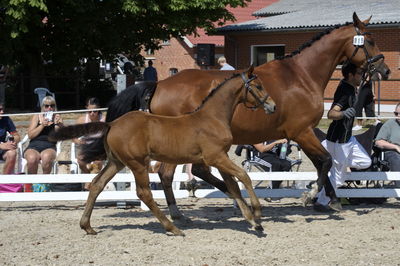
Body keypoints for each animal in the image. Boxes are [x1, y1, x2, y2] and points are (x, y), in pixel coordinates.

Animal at [51, 67, 276, 235]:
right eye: (257, 86)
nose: (272, 106)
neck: (212, 117)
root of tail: (112, 123)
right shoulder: (216, 157)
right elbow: (243, 176)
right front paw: (257, 213)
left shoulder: (219, 157)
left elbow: (233, 185)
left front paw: (252, 220)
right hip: (137, 163)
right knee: (144, 192)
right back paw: (172, 227)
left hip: (117, 162)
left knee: (97, 184)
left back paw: (87, 226)